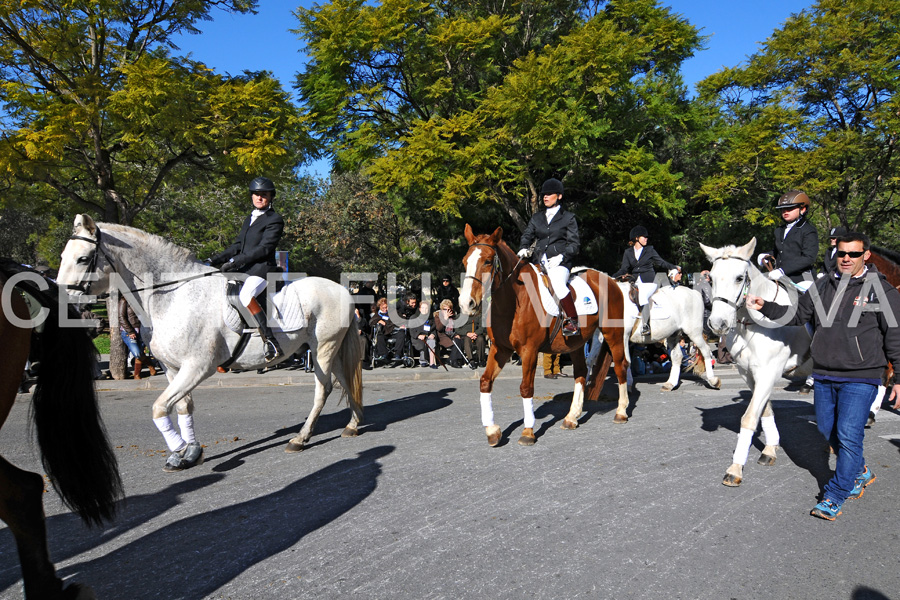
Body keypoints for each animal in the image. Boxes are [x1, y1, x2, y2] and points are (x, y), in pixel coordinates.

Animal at [59, 213, 366, 472]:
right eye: (63, 256)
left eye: (83, 259)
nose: (64, 303)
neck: (172, 296)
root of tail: (341, 290)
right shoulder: (173, 368)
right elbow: (183, 407)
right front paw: (190, 452)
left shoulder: (198, 367)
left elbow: (160, 407)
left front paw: (179, 450)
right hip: (329, 350)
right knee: (344, 379)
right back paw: (352, 425)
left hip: (323, 348)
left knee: (323, 389)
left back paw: (300, 439)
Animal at [460, 225, 628, 446]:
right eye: (465, 261)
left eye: (488, 261)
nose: (466, 304)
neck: (514, 300)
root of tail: (610, 279)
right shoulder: (500, 349)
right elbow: (485, 382)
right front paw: (492, 431)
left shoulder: (529, 351)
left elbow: (526, 388)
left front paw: (528, 431)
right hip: (575, 343)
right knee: (581, 372)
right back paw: (571, 417)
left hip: (613, 334)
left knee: (620, 366)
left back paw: (621, 412)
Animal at [700, 239, 812, 488]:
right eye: (711, 278)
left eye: (739, 278)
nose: (717, 324)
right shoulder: (749, 374)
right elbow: (765, 410)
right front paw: (770, 449)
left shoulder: (769, 373)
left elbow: (750, 417)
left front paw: (735, 469)